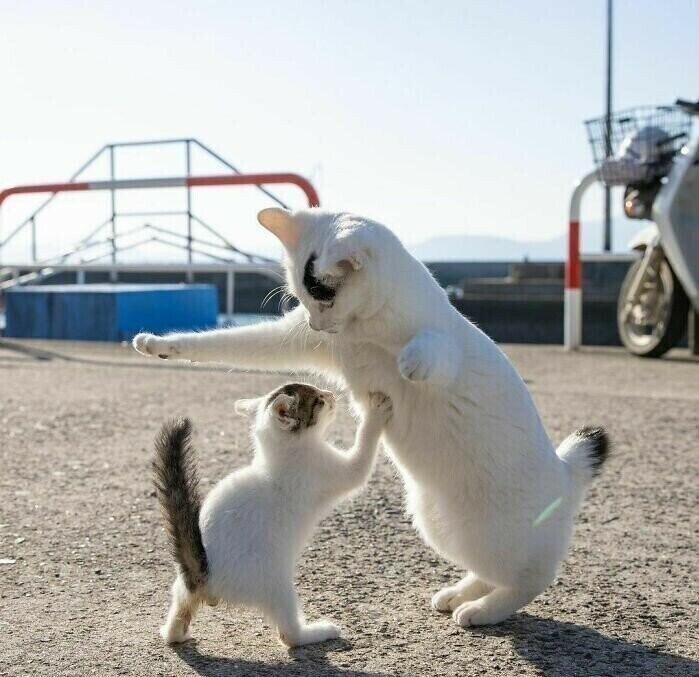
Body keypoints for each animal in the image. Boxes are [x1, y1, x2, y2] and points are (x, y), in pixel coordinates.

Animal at [154, 382, 394, 648]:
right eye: (318, 400)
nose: (331, 395)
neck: (280, 456)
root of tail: (205, 571)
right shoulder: (330, 469)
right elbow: (362, 459)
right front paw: (376, 413)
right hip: (277, 585)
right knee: (289, 635)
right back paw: (319, 632)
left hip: (183, 586)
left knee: (179, 614)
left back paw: (176, 633)